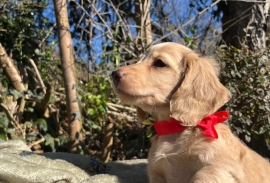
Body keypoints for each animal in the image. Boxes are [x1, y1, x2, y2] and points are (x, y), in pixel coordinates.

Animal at [110, 42, 270, 183]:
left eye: (160, 63)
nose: (113, 74)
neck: (174, 130)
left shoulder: (217, 169)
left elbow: (201, 176)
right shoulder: (156, 173)